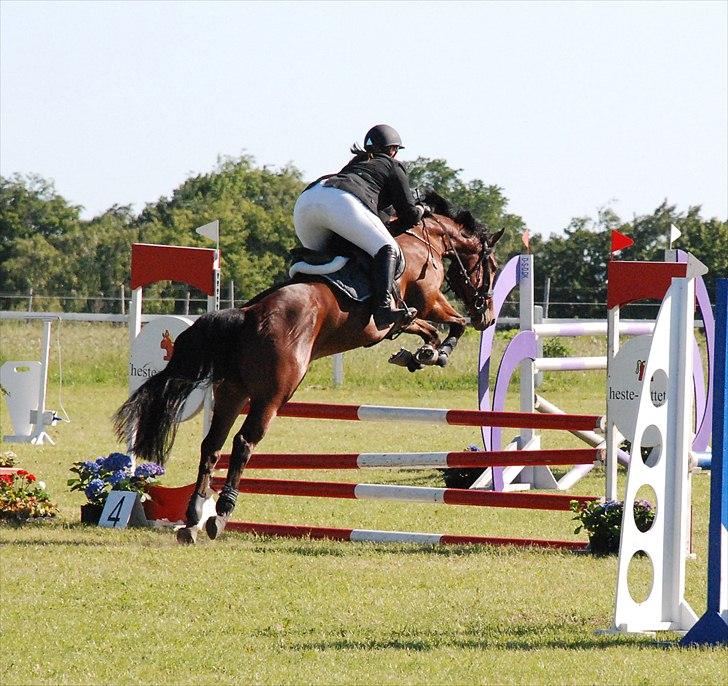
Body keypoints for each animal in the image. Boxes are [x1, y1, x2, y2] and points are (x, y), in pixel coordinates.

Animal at [114, 191, 504, 544]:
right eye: (493, 267)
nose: (487, 316)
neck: (427, 241)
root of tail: (247, 314)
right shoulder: (428, 301)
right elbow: (451, 325)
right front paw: (435, 354)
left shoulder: (400, 320)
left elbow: (425, 329)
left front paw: (417, 355)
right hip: (274, 394)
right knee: (243, 442)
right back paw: (220, 514)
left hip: (231, 391)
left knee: (212, 444)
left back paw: (194, 518)